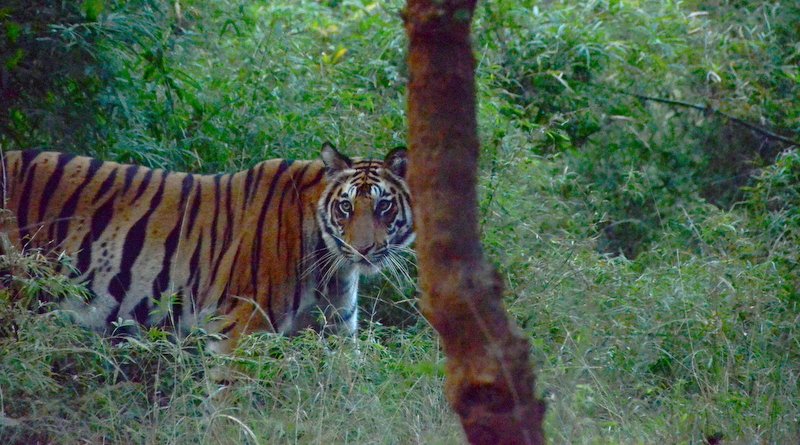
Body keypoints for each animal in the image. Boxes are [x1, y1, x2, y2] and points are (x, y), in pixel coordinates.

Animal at [0, 144, 412, 352]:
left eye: (383, 206)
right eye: (345, 207)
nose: (364, 249)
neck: (333, 266)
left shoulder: (336, 333)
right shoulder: (239, 328)